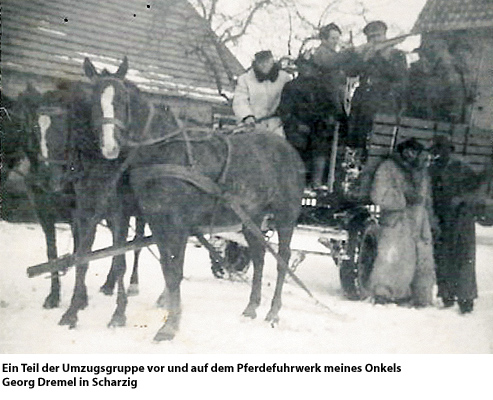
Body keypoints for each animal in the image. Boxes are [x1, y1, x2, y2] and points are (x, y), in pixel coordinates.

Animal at [74, 57, 304, 340]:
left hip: (285, 216)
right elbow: (167, 269)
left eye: (122, 101)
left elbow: (175, 271)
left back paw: (273, 312)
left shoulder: (179, 225)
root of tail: (289, 151)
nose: (109, 147)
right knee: (259, 257)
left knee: (283, 259)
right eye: (94, 101)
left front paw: (170, 326)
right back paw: (251, 308)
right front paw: (169, 317)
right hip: (251, 217)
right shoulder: (158, 223)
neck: (164, 151)